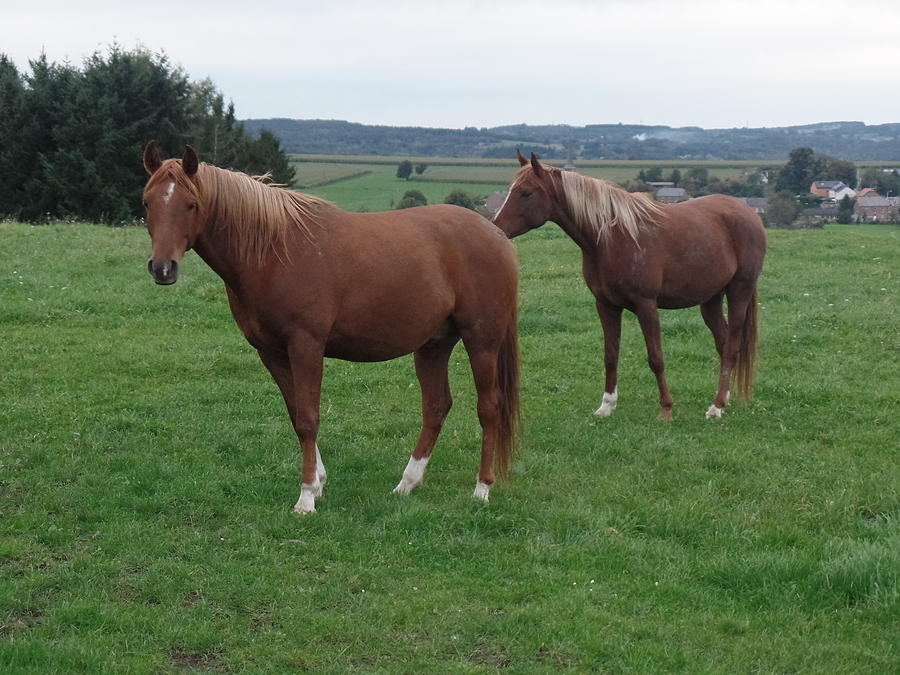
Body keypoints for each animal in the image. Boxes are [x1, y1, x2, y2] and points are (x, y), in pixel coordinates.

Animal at [141, 143, 520, 512]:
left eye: (191, 204)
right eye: (147, 202)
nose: (162, 268)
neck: (273, 252)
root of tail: (496, 234)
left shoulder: (306, 346)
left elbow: (309, 419)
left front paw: (307, 495)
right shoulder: (271, 353)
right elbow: (297, 416)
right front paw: (319, 482)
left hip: (481, 341)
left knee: (489, 407)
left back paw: (482, 489)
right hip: (433, 344)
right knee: (437, 406)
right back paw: (407, 483)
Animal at [492, 152, 768, 422]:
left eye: (526, 192)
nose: (496, 229)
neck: (611, 239)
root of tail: (750, 214)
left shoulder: (646, 306)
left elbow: (656, 358)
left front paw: (666, 408)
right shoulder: (606, 306)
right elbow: (610, 356)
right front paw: (606, 405)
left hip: (739, 291)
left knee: (731, 347)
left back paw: (716, 406)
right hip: (710, 299)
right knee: (723, 343)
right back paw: (724, 400)